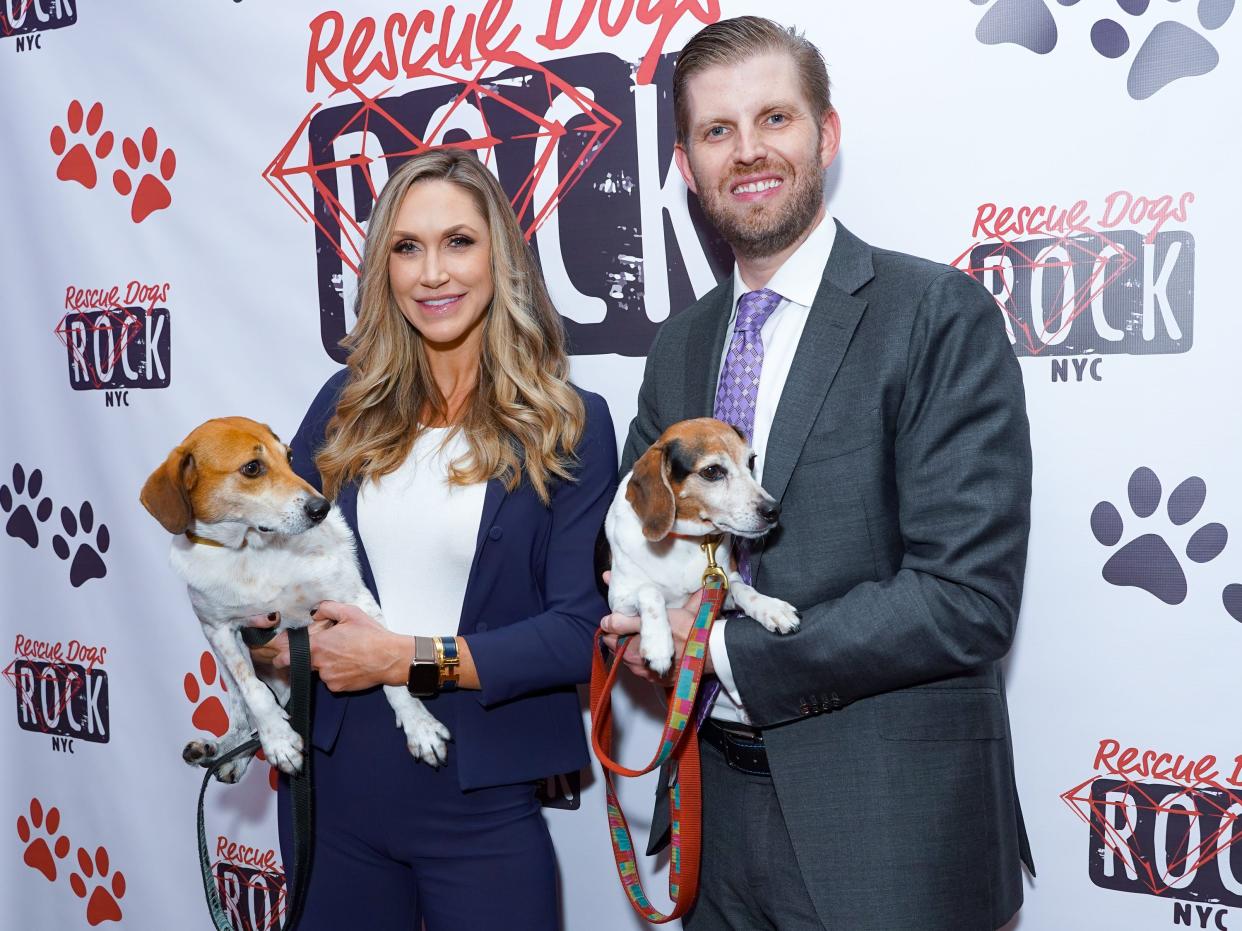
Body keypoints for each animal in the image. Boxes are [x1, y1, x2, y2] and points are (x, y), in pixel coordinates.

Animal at [142, 419, 452, 784]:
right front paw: (277, 739)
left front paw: (420, 726)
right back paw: (220, 751)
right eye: (252, 468)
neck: (249, 550)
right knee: (242, 713)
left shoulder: (352, 598)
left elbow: (389, 672)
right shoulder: (217, 629)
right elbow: (253, 691)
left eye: (288, 456)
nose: (321, 509)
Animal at [603, 419, 799, 675]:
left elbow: (744, 589)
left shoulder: (721, 585)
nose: (774, 510)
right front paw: (658, 644)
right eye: (711, 471)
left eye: (751, 461)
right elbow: (649, 591)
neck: (685, 540)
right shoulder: (618, 602)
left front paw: (772, 608)